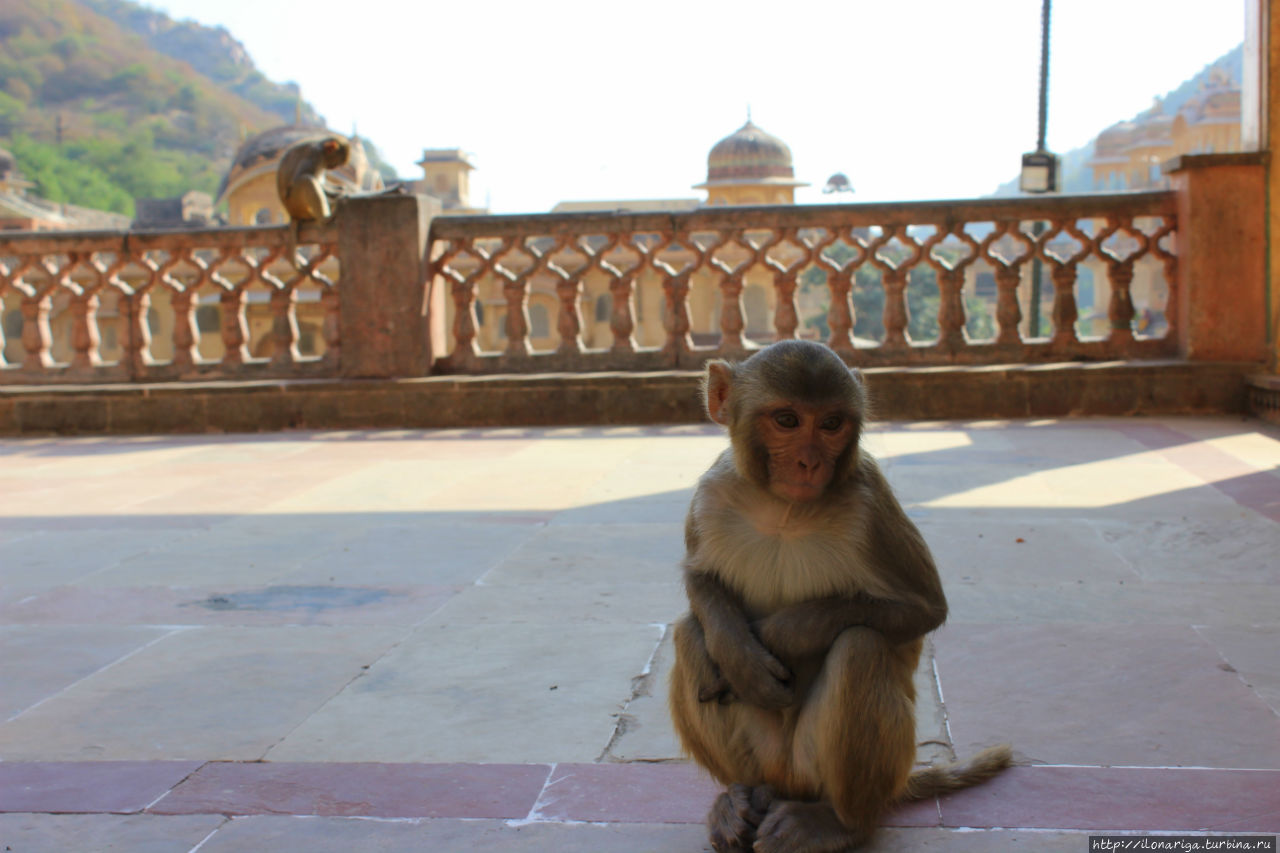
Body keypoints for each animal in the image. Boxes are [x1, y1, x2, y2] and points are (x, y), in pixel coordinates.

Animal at [670, 338, 1008, 850]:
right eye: (787, 420)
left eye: (831, 424)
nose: (810, 462)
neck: (784, 510)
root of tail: (786, 780)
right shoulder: (711, 492)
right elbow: (700, 580)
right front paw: (739, 654)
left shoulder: (873, 506)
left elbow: (924, 608)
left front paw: (782, 634)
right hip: (767, 755)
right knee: (690, 634)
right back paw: (739, 798)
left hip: (833, 766)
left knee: (859, 646)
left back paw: (837, 823)